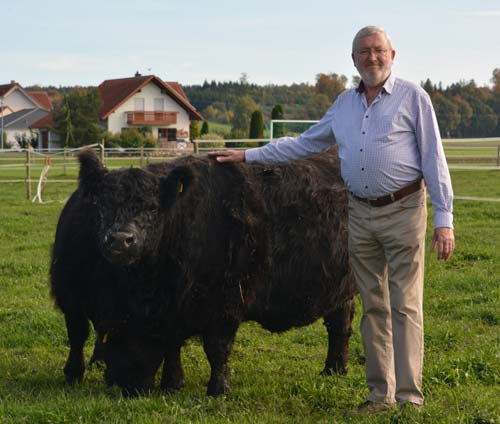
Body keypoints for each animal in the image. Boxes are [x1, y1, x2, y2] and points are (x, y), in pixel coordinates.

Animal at [49, 147, 356, 396]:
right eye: (101, 206)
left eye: (152, 207)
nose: (121, 239)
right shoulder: (74, 298)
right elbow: (79, 336)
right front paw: (172, 383)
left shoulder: (224, 301)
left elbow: (217, 349)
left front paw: (217, 389)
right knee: (339, 323)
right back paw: (334, 368)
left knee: (339, 326)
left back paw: (334, 368)